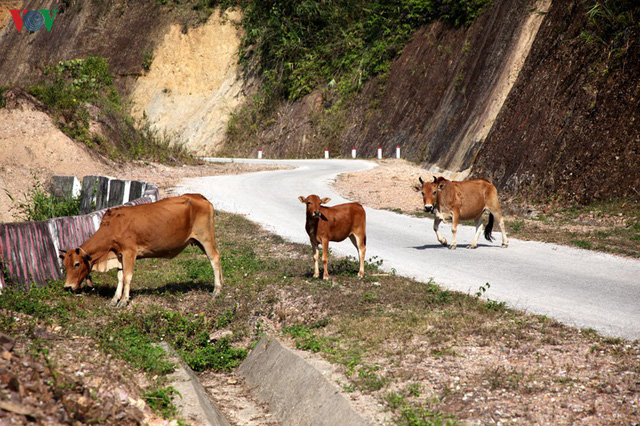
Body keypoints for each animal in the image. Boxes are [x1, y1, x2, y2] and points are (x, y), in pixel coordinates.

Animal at [58, 193, 222, 306]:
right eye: (64, 266)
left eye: (77, 264)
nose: (67, 287)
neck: (113, 227)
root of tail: (199, 197)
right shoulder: (119, 255)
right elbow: (120, 277)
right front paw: (114, 299)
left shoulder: (129, 252)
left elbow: (127, 277)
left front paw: (124, 301)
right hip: (199, 240)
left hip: (205, 238)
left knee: (214, 258)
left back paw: (217, 290)